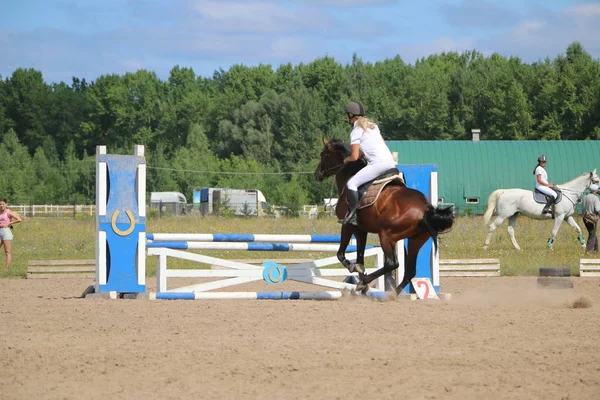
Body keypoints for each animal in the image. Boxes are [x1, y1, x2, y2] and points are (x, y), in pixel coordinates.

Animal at [314, 139, 454, 296]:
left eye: (323, 155)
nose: (316, 174)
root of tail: (425, 210)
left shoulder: (349, 225)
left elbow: (341, 254)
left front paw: (355, 272)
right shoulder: (361, 230)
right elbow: (360, 257)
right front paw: (361, 281)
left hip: (386, 236)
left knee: (392, 264)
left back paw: (369, 283)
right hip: (415, 240)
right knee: (410, 271)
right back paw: (390, 294)